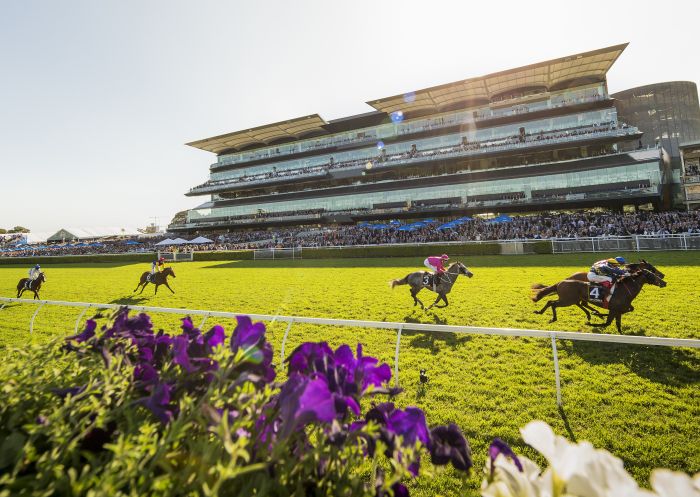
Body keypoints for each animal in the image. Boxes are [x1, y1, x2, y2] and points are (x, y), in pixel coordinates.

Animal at [532, 268, 664, 334]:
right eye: (653, 274)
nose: (664, 282)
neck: (624, 289)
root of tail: (561, 282)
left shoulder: (619, 310)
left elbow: (618, 323)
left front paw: (621, 333)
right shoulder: (614, 309)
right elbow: (607, 323)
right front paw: (591, 322)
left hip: (569, 299)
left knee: (551, 302)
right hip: (567, 300)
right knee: (553, 303)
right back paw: (553, 318)